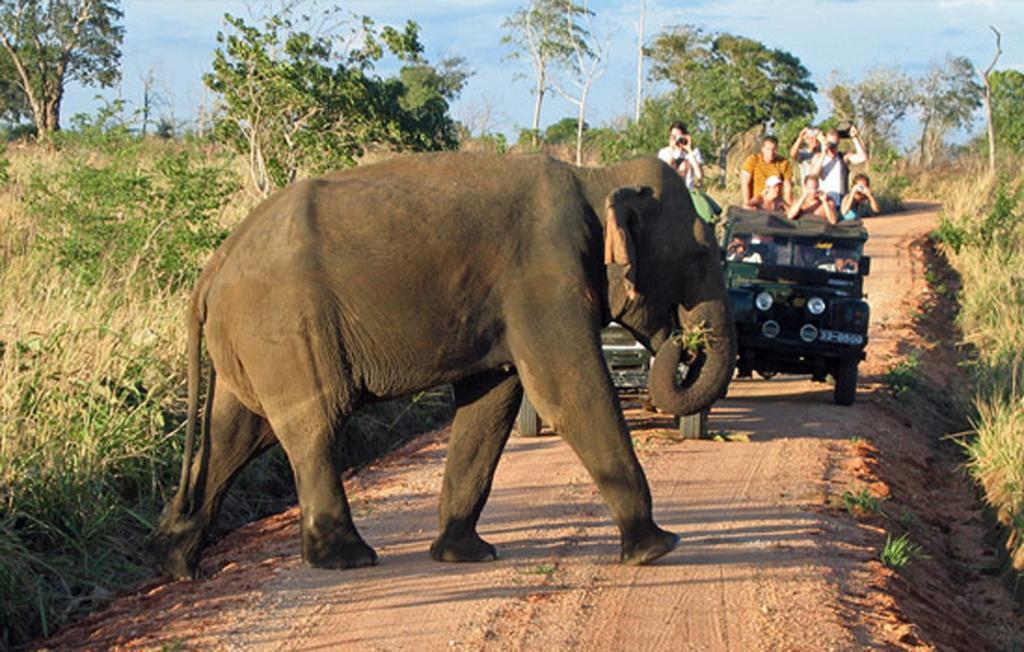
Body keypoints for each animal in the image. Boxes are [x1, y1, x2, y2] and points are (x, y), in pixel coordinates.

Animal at [148, 152, 733, 581]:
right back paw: (346, 559)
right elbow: (569, 393)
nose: (686, 342)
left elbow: (491, 405)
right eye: (702, 258)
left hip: (250, 340)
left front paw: (465, 554)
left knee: (235, 435)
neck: (598, 176)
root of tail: (212, 269)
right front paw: (658, 549)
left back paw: (176, 564)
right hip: (286, 328)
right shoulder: (544, 275)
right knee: (313, 423)